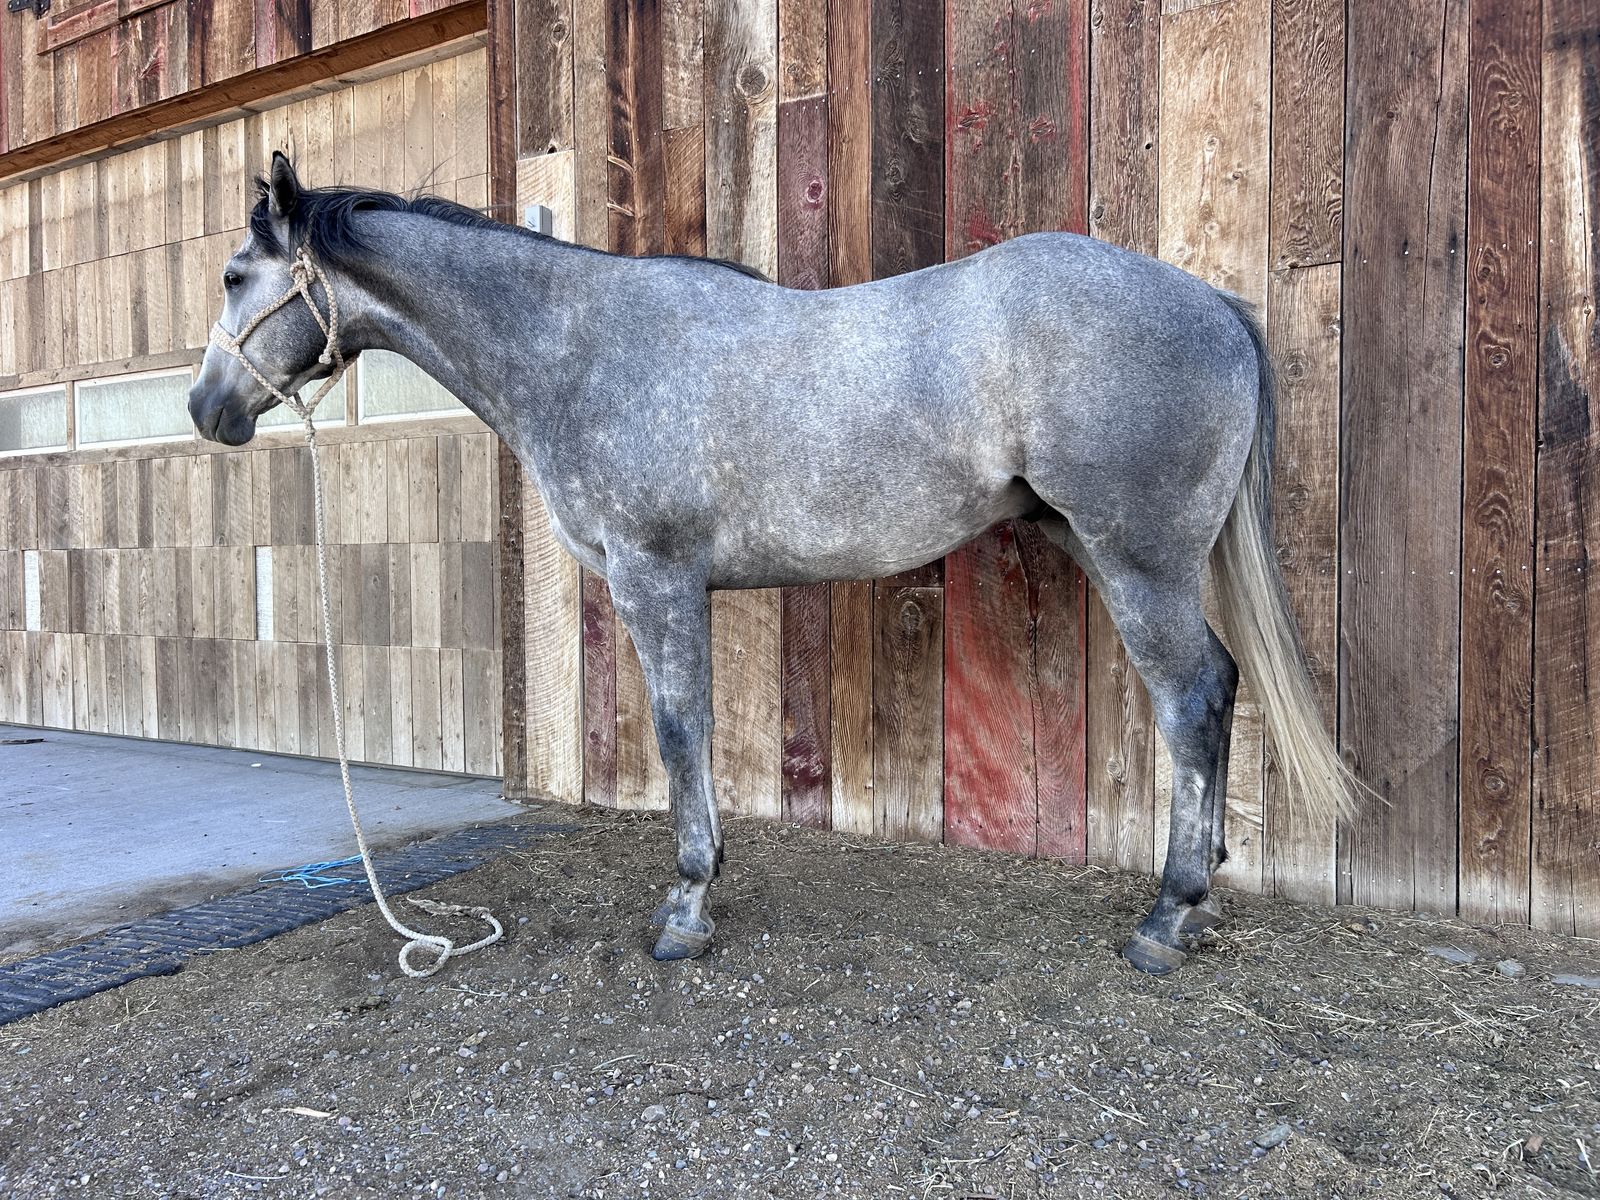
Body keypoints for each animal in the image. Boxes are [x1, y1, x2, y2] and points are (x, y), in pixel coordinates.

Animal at [190, 152, 1359, 974]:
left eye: (238, 274)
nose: (207, 410)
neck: (578, 346)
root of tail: (1214, 306)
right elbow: (694, 732)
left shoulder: (654, 579)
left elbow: (679, 733)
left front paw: (685, 909)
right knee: (1215, 691)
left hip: (1139, 562)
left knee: (1193, 699)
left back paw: (1168, 917)